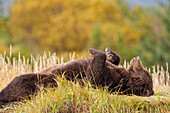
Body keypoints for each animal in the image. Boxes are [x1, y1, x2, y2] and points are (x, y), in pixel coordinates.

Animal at [0, 48, 154, 107]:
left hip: (40, 80)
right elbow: (111, 62)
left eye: (142, 68)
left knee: (20, 83)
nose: (137, 58)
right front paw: (110, 54)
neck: (126, 77)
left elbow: (93, 75)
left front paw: (94, 51)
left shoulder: (108, 80)